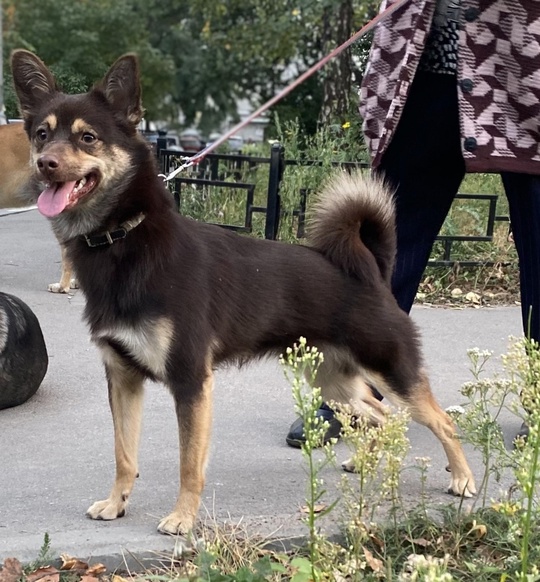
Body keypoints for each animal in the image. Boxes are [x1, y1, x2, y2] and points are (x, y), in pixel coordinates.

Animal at [9, 49, 476, 540]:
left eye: (88, 137)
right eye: (42, 134)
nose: (45, 164)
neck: (124, 241)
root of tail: (370, 270)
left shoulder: (190, 381)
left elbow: (188, 463)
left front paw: (183, 517)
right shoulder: (122, 377)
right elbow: (124, 454)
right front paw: (116, 503)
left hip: (390, 371)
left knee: (440, 420)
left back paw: (463, 479)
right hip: (331, 380)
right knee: (381, 418)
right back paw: (367, 464)